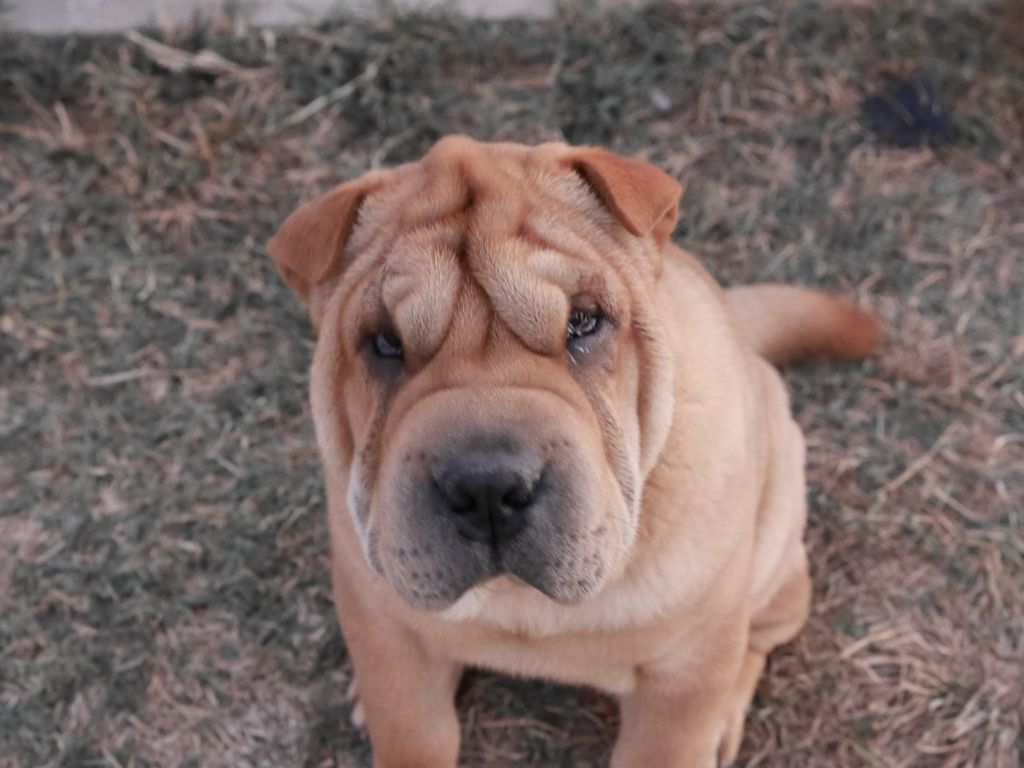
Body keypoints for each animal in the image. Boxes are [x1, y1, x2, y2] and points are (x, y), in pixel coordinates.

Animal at [268, 135, 884, 765]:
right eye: (385, 343)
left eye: (584, 322)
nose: (486, 486)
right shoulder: (390, 645)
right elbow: (413, 735)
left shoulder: (681, 679)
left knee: (760, 637)